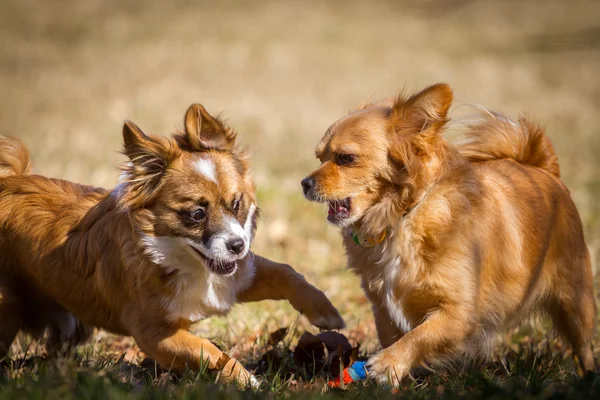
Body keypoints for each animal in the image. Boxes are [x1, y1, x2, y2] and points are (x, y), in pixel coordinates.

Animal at [0, 103, 344, 384]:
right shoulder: (156, 335)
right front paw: (247, 381)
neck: (183, 261)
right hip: (9, 308)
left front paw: (326, 313)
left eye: (237, 204)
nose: (237, 245)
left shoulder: (238, 278)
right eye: (196, 214)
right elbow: (208, 351)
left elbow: (286, 272)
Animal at [302, 84, 596, 388]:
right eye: (319, 157)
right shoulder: (383, 308)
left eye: (345, 158)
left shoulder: (461, 314)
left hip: (575, 303)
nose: (305, 183)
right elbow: (395, 337)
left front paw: (386, 363)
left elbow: (420, 336)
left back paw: (587, 377)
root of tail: (544, 168)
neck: (401, 219)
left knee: (583, 346)